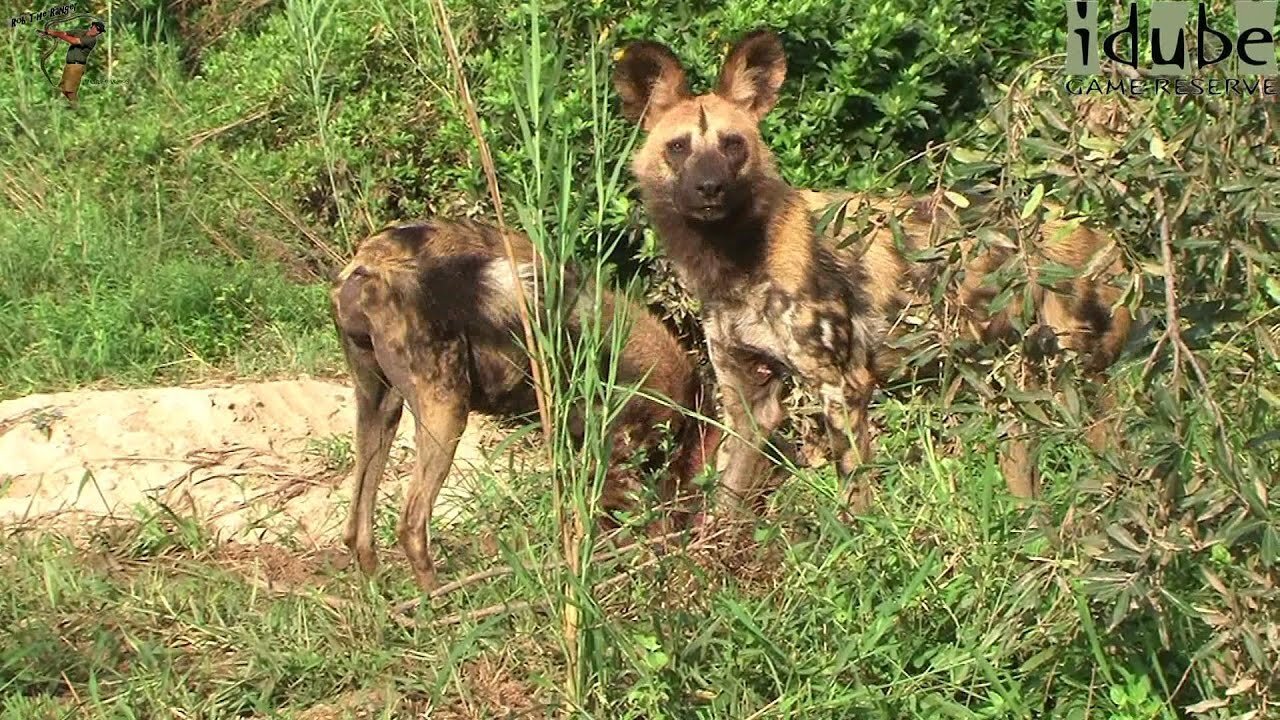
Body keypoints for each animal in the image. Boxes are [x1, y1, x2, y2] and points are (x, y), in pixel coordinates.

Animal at [330, 219, 721, 589]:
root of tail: (374, 257)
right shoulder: (616, 462)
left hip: (379, 408)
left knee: (357, 529)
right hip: (446, 412)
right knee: (412, 525)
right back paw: (440, 603)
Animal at [614, 28, 1136, 509]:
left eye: (732, 144)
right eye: (678, 147)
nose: (709, 188)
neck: (736, 262)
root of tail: (1103, 231)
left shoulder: (843, 389)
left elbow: (856, 509)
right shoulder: (747, 403)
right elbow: (723, 506)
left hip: (1076, 383)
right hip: (1016, 392)